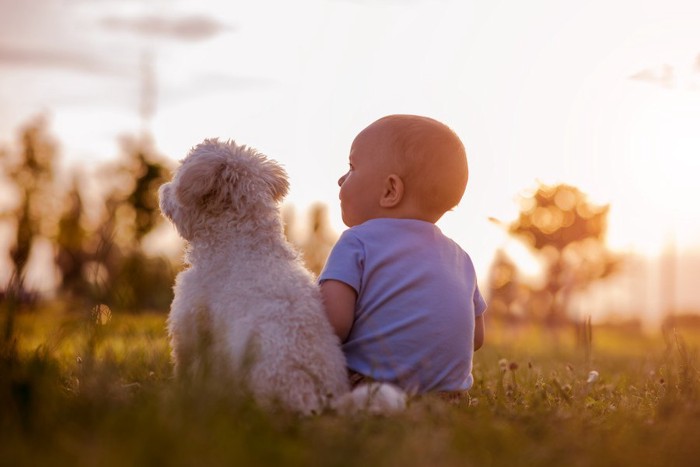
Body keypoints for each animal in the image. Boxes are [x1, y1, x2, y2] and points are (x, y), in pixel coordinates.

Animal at [157, 139, 350, 414]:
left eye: (177, 177)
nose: (162, 189)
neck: (244, 241)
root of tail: (318, 399)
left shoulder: (189, 325)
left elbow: (186, 369)